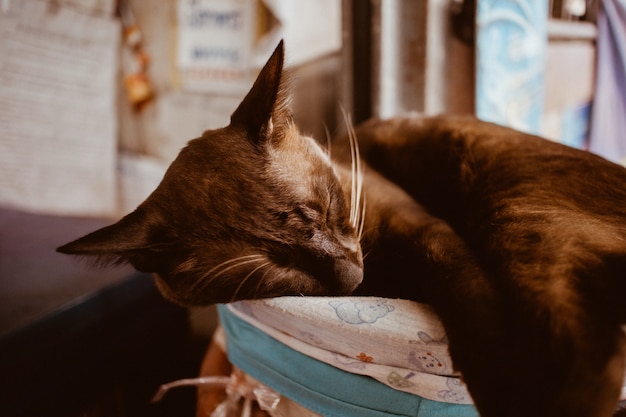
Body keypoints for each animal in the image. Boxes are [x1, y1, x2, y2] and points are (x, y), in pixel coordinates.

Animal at [58, 39, 624, 416]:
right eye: (278, 270)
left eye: (326, 208)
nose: (352, 281)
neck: (387, 274)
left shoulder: (424, 233)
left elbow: (462, 290)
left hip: (513, 218)